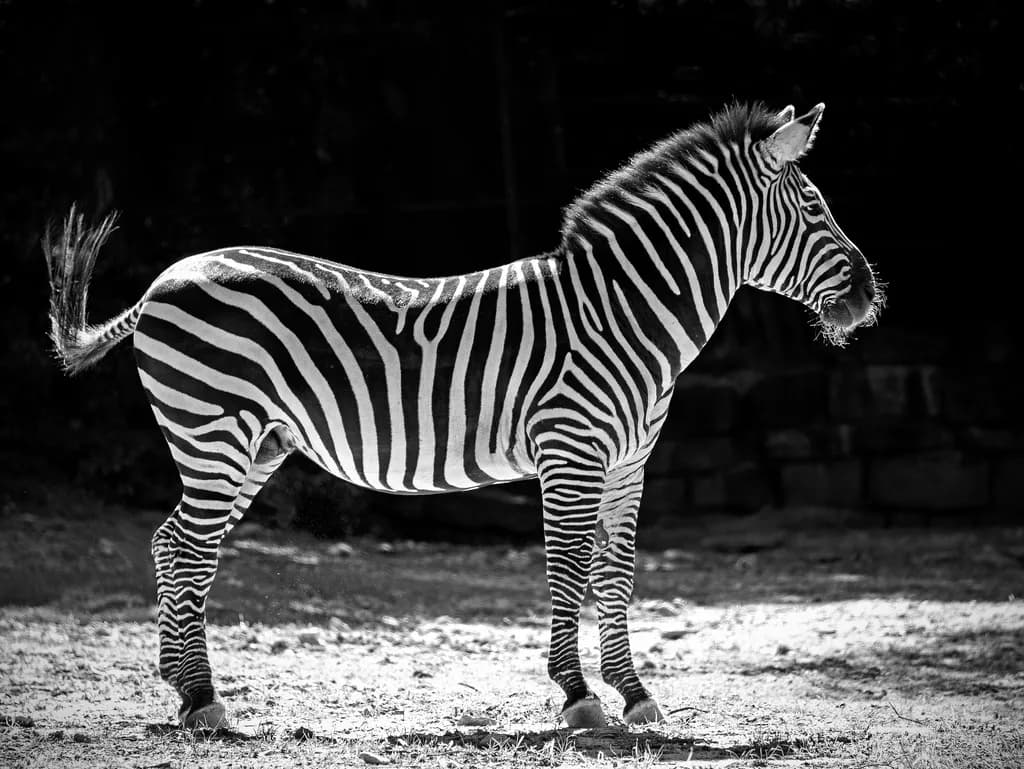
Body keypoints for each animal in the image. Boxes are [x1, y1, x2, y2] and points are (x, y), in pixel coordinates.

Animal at [44, 102, 881, 731]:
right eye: (815, 206)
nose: (872, 295)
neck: (621, 313)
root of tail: (161, 282)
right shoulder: (570, 450)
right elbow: (568, 567)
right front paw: (579, 698)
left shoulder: (628, 464)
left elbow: (616, 573)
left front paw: (635, 694)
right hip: (214, 429)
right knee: (187, 548)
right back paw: (202, 697)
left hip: (256, 442)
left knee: (175, 544)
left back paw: (184, 688)